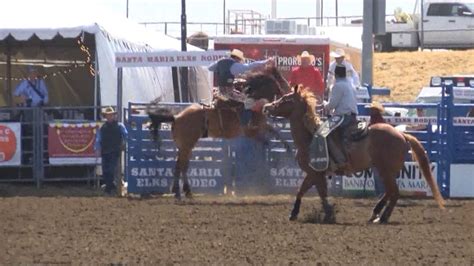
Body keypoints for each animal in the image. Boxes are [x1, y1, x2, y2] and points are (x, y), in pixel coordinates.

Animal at [148, 66, 288, 198]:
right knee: (180, 166)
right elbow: (267, 141)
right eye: (279, 83)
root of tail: (176, 117)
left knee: (182, 165)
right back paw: (179, 192)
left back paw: (185, 192)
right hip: (186, 146)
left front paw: (288, 150)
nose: (285, 93)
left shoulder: (262, 126)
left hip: (185, 147)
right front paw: (275, 160)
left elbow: (277, 134)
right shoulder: (252, 132)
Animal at [262, 86, 444, 223]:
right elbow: (306, 191)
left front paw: (326, 214)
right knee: (389, 192)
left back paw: (382, 217)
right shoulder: (315, 173)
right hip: (385, 170)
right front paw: (297, 213)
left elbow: (317, 193)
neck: (309, 137)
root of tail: (402, 134)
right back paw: (375, 213)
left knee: (394, 192)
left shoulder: (315, 173)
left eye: (286, 99)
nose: (266, 107)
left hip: (385, 170)